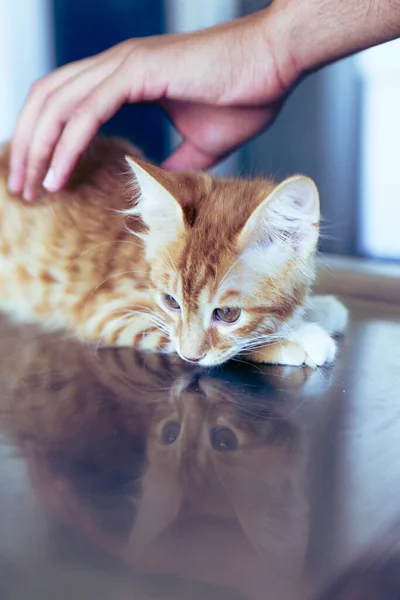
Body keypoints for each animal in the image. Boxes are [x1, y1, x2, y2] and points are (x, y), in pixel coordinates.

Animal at [0, 138, 346, 368]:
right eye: (171, 302)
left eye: (227, 313)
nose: (190, 356)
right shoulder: (109, 313)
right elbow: (227, 346)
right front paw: (296, 338)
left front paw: (315, 309)